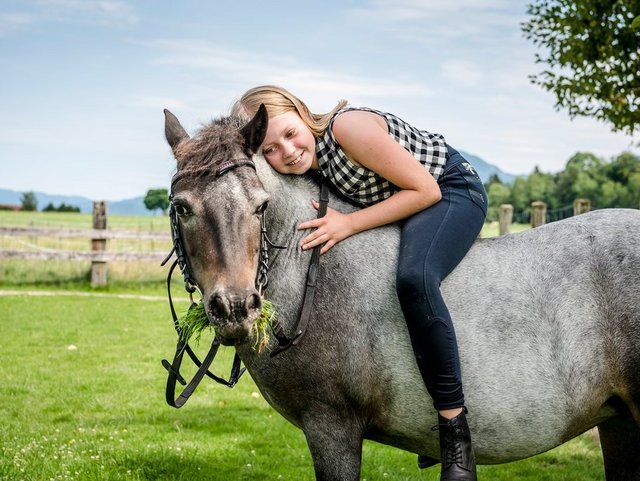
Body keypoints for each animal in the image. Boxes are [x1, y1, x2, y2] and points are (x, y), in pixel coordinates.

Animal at [164, 106, 640, 480]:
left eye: (260, 206)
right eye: (182, 207)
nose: (235, 308)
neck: (313, 273)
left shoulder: (331, 427)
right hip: (618, 423)